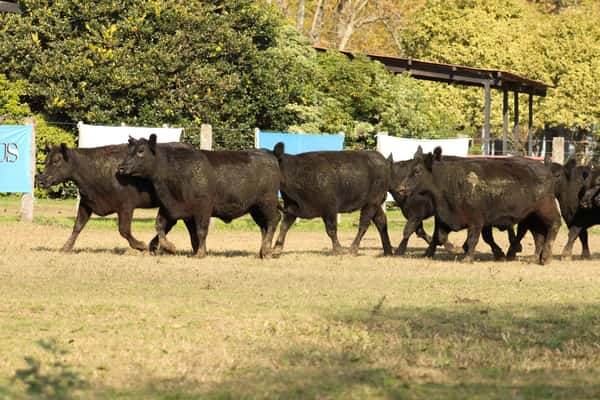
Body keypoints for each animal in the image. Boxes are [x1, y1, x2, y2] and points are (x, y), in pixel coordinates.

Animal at [37, 142, 195, 252]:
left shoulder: (126, 206)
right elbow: (77, 226)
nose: (41, 180)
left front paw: (140, 245)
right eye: (46, 161)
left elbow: (124, 230)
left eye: (56, 161)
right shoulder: (86, 203)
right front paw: (66, 247)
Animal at [117, 135, 282, 260]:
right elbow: (162, 226)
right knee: (264, 226)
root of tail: (270, 154)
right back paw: (263, 251)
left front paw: (200, 253)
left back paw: (268, 250)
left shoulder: (203, 208)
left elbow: (201, 230)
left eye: (141, 151)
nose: (121, 167)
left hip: (267, 201)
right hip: (255, 208)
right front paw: (171, 247)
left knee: (274, 219)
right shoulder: (173, 208)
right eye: (129, 151)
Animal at [396, 147, 560, 262]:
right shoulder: (446, 218)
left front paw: (467, 257)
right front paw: (454, 248)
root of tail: (546, 168)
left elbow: (473, 238)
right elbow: (441, 236)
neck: (451, 181)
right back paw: (535, 257)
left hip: (546, 208)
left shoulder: (476, 221)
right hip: (532, 216)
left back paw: (545, 256)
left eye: (417, 171)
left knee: (555, 224)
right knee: (538, 235)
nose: (401, 189)